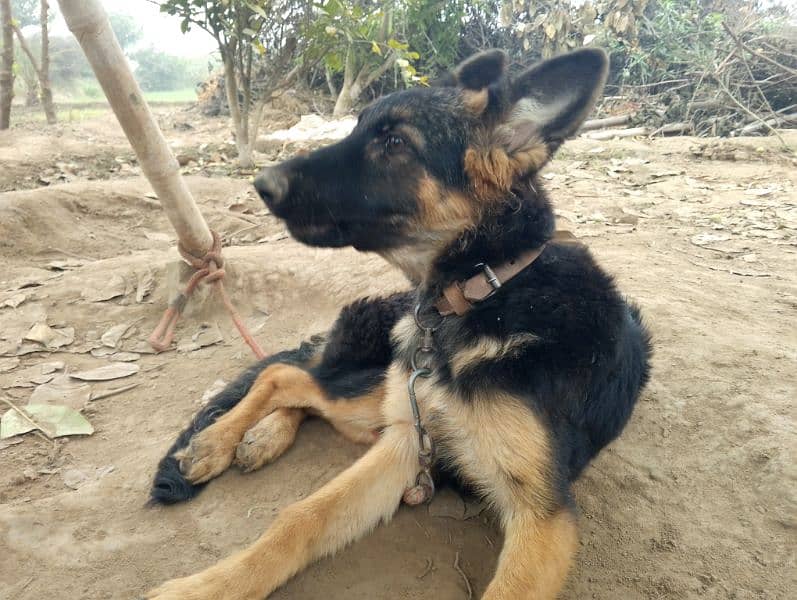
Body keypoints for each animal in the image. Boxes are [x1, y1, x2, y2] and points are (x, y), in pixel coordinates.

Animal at [146, 49, 648, 596]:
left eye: (394, 143)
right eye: (359, 128)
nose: (261, 184)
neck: (489, 291)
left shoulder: (544, 515)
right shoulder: (406, 440)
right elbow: (300, 517)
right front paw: (210, 585)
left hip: (376, 410)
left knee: (295, 381)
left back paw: (258, 438)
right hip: (379, 397)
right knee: (285, 375)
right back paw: (219, 442)